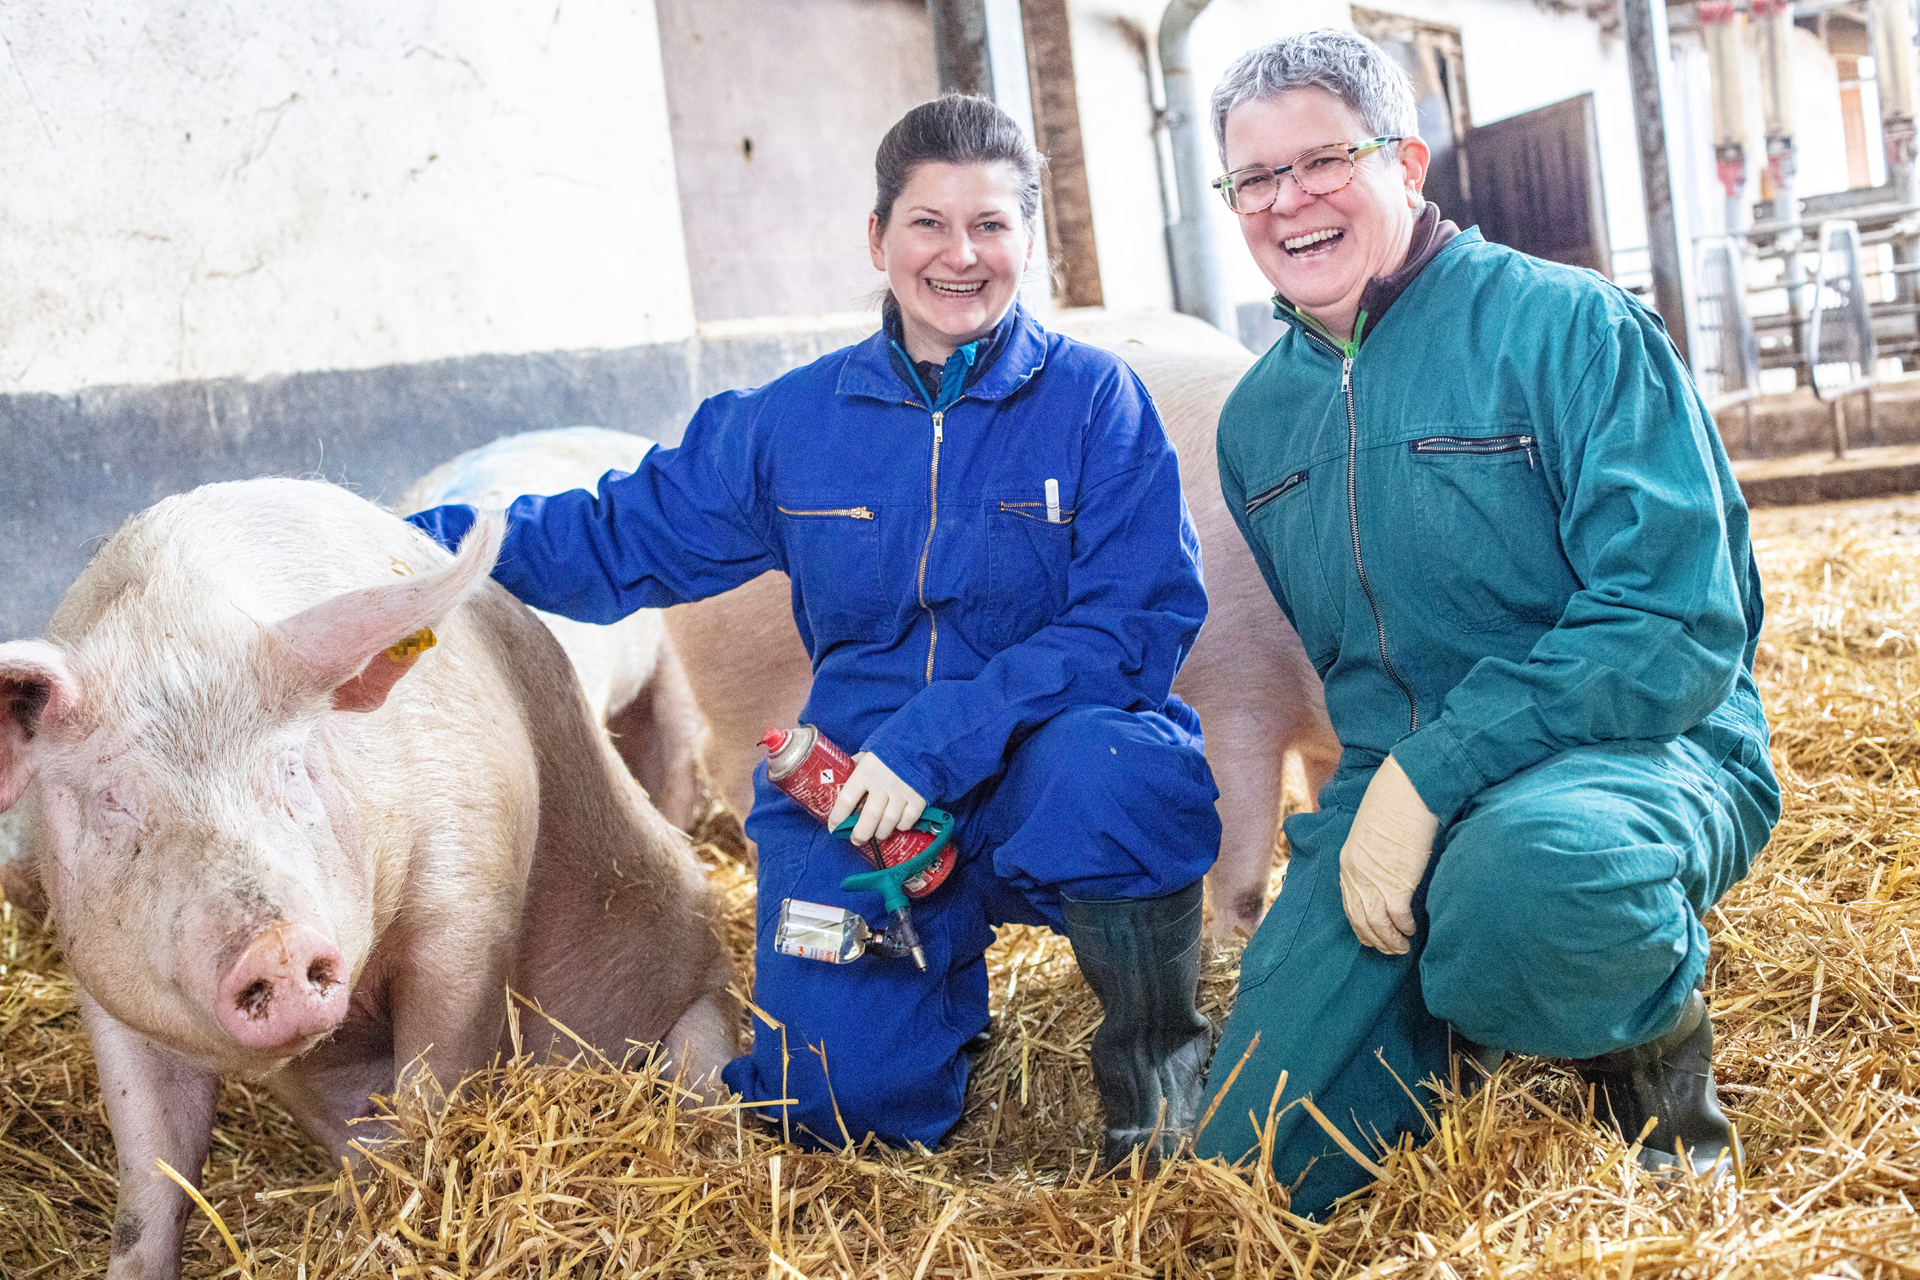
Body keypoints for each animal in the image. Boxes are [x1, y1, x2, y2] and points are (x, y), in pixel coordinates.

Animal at [0, 478, 736, 1280]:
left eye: (293, 768)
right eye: (115, 802)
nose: (277, 946)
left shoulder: (471, 901)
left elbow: (435, 1080)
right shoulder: (104, 991)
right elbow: (152, 1177)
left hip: (703, 1021)